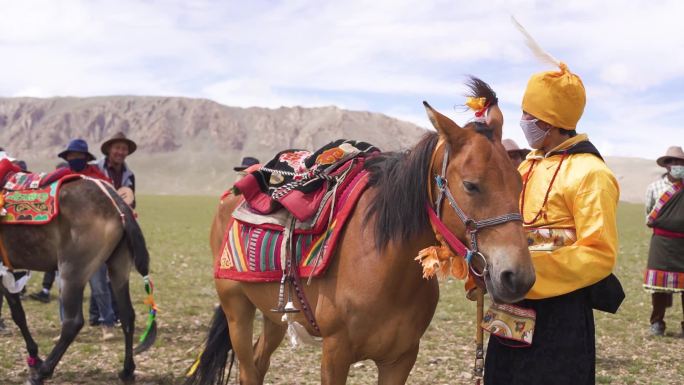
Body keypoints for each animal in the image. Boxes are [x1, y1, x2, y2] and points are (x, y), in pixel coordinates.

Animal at [1, 178, 154, 384]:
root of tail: (117, 204)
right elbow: (18, 314)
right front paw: (34, 357)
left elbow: (17, 313)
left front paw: (36, 362)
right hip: (118, 266)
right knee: (127, 315)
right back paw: (127, 371)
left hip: (72, 271)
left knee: (72, 323)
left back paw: (42, 373)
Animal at [187, 79, 536, 384]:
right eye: (471, 185)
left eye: (519, 183)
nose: (517, 277)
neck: (385, 266)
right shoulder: (335, 353)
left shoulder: (401, 358)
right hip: (237, 308)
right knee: (248, 369)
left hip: (275, 314)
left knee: (259, 364)